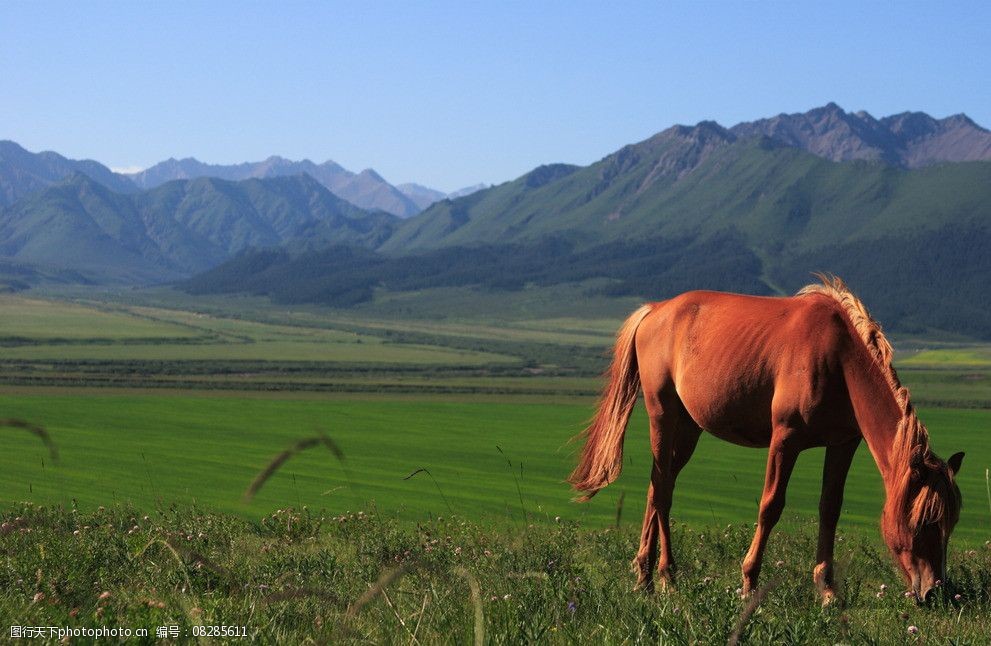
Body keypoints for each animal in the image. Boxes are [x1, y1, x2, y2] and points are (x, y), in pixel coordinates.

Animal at [568, 278, 964, 608]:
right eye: (923, 522)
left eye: (950, 523)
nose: (934, 592)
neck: (837, 358)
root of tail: (655, 311)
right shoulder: (785, 439)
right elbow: (770, 506)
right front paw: (749, 584)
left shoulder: (843, 444)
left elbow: (830, 508)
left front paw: (827, 591)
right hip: (662, 416)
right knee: (663, 493)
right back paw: (667, 577)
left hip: (688, 429)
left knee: (656, 487)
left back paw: (644, 577)